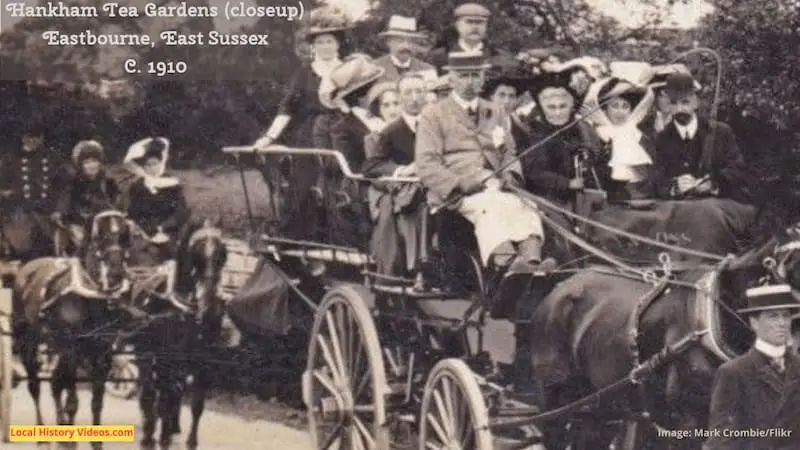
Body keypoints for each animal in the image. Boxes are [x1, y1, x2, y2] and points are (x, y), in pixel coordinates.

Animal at [11, 210, 133, 446]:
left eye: (124, 236)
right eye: (100, 237)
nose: (116, 274)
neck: (90, 296)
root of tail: (28, 267)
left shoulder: (102, 353)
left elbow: (96, 401)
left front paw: (95, 441)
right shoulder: (72, 350)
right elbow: (73, 399)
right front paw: (70, 440)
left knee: (56, 382)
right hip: (28, 342)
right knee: (35, 385)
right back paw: (43, 431)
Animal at [126, 216, 228, 448]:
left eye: (222, 253)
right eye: (196, 251)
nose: (208, 299)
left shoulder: (203, 359)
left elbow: (196, 403)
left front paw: (190, 440)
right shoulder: (166, 358)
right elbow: (163, 396)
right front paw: (157, 436)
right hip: (146, 352)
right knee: (151, 389)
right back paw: (151, 427)